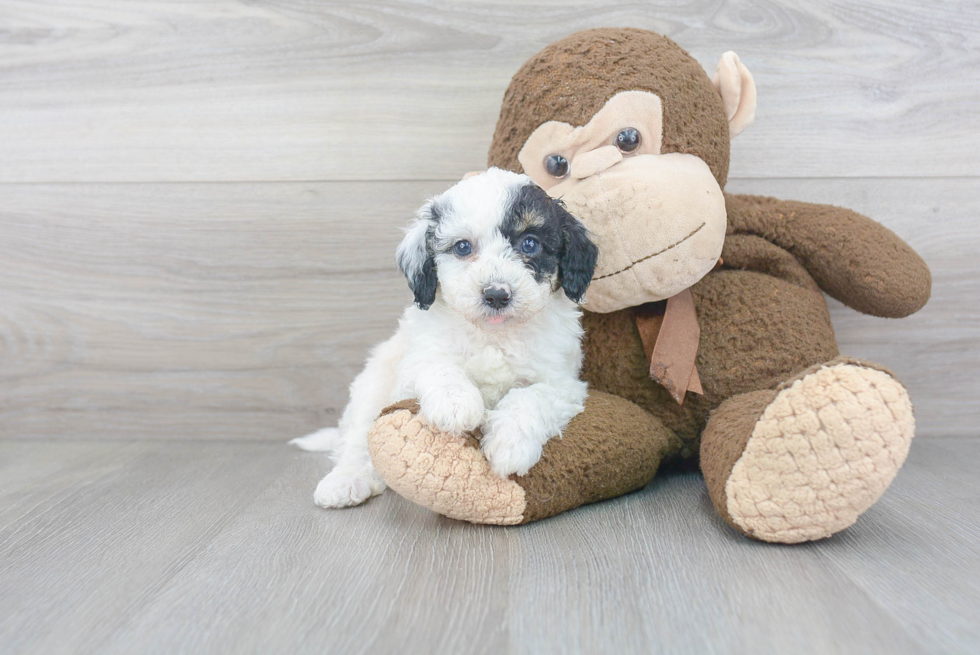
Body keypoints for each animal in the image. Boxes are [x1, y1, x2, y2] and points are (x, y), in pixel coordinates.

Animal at [290, 168, 596, 508]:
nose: (496, 294)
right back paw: (346, 480)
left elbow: (531, 396)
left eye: (530, 244)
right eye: (462, 247)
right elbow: (438, 367)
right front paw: (456, 404)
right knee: (357, 437)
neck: (493, 334)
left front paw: (510, 443)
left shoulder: (563, 383)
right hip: (373, 386)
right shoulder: (417, 360)